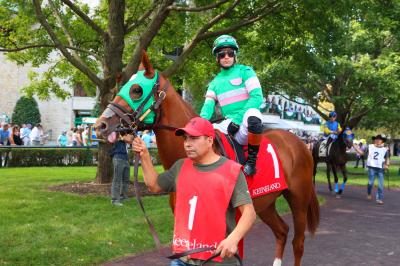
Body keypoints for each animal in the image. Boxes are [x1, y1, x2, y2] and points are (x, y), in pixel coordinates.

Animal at [95, 50, 320, 266]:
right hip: (266, 203)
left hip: (298, 199)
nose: (100, 125)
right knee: (282, 231)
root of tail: (300, 143)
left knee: (298, 242)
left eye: (136, 90)